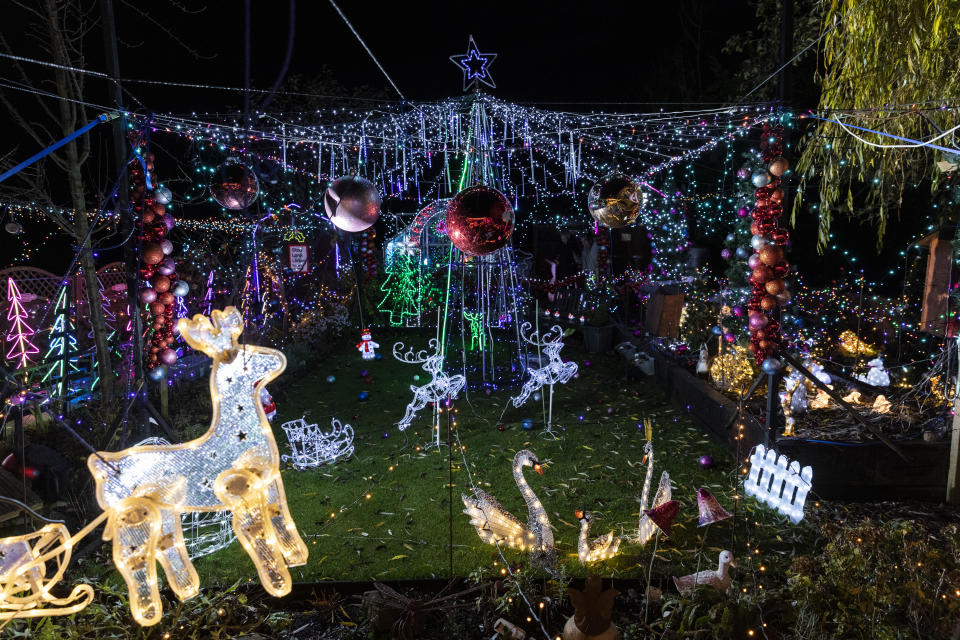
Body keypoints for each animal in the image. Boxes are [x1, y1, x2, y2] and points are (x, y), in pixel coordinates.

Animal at [86, 306, 306, 624]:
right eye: (243, 357)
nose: (277, 359)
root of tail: (103, 469)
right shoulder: (239, 489)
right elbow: (255, 531)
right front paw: (277, 582)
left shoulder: (270, 481)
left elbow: (279, 517)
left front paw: (297, 558)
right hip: (131, 519)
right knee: (132, 558)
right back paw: (148, 612)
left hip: (164, 513)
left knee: (166, 546)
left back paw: (186, 590)